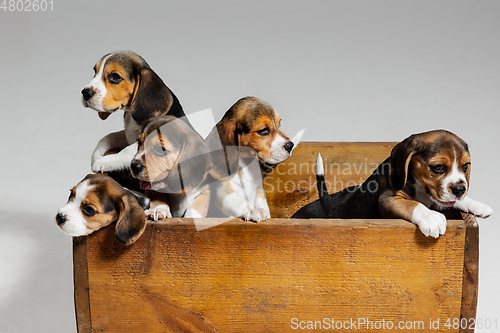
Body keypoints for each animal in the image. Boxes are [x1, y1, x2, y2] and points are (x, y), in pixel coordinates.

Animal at [292, 128, 494, 237]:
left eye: (465, 166)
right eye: (438, 168)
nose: (460, 189)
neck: (420, 188)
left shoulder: (439, 199)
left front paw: (477, 204)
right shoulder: (388, 199)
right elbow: (413, 205)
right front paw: (431, 218)